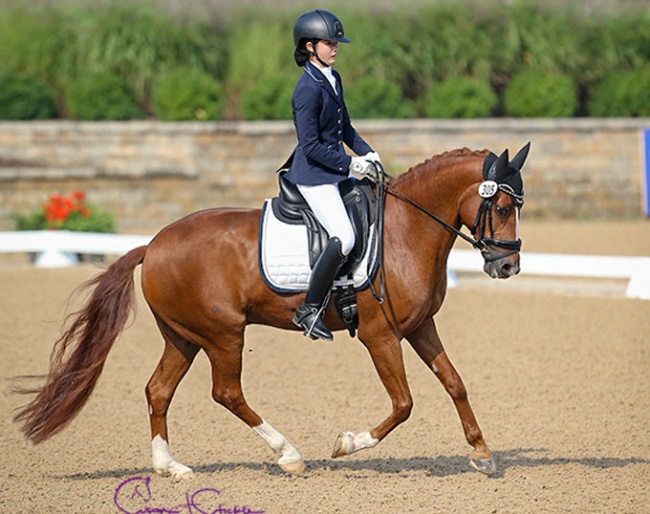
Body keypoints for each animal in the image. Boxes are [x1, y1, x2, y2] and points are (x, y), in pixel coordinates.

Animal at [13, 143, 528, 476]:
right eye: (502, 207)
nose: (508, 266)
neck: (405, 231)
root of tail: (153, 245)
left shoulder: (420, 326)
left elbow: (455, 383)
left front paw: (483, 453)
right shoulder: (380, 335)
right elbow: (403, 404)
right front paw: (347, 443)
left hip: (183, 336)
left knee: (159, 390)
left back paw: (170, 467)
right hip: (223, 334)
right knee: (226, 393)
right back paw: (289, 455)